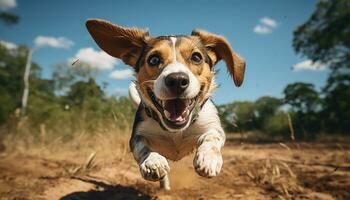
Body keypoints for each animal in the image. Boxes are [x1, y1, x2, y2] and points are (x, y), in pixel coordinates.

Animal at [86, 18, 245, 189]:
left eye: (196, 57)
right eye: (154, 59)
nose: (177, 80)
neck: (174, 132)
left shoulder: (212, 125)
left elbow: (211, 137)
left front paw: (208, 158)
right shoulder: (137, 136)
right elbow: (142, 146)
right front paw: (152, 161)